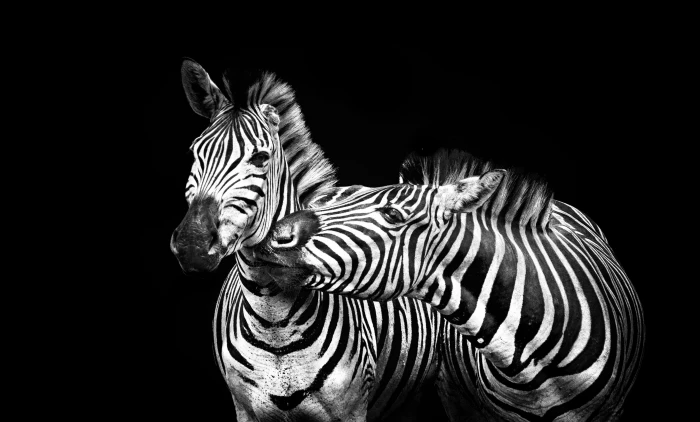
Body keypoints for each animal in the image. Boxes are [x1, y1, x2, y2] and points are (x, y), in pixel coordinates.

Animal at [169, 59, 442, 421]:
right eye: (194, 152)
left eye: (260, 158)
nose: (192, 246)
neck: (273, 322)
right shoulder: (245, 409)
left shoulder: (351, 410)